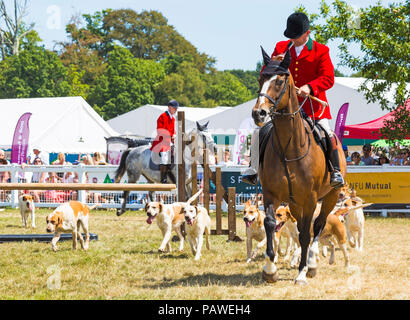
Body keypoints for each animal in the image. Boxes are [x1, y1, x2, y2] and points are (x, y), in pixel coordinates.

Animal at [253, 48, 346, 284]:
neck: (289, 147)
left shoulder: (311, 198)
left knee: (318, 225)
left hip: (331, 196)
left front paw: (303, 271)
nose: (258, 113)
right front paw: (270, 269)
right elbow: (269, 223)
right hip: (295, 202)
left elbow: (306, 233)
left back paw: (311, 263)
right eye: (260, 78)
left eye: (279, 81)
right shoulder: (270, 193)